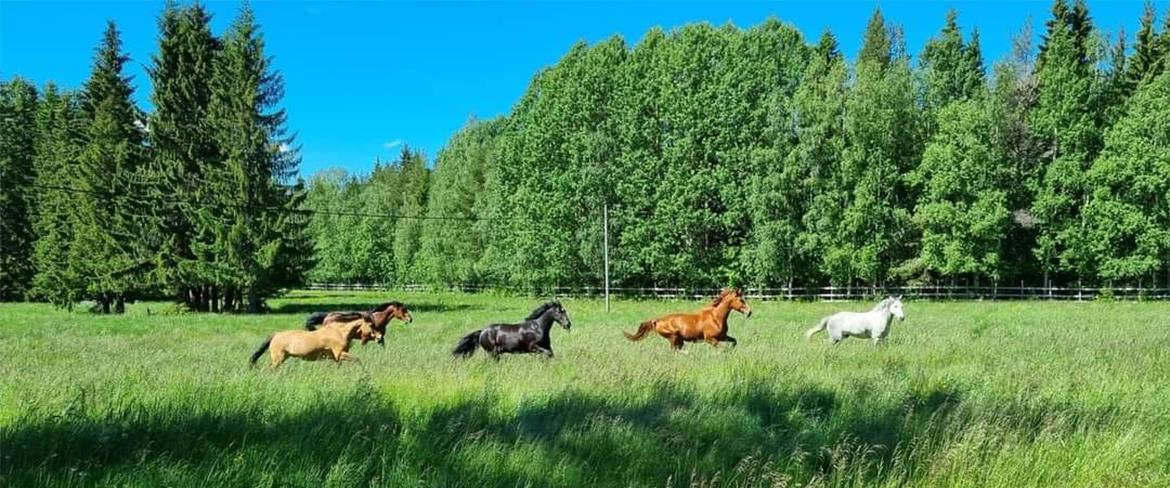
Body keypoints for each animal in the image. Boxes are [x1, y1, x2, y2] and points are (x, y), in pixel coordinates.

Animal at [249, 313, 381, 367]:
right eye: (371, 325)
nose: (380, 338)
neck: (340, 332)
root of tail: (275, 335)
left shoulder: (336, 358)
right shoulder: (339, 354)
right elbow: (358, 360)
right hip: (278, 359)